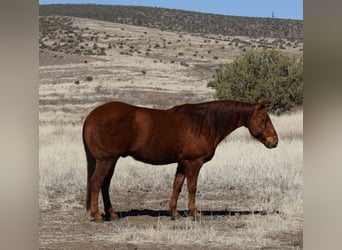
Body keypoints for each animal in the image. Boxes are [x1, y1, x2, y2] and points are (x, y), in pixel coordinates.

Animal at [82, 99, 278, 221]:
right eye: (263, 119)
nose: (274, 142)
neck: (203, 124)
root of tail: (91, 116)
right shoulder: (194, 162)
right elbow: (192, 187)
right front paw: (194, 213)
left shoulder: (182, 163)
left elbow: (177, 185)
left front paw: (174, 212)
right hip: (106, 160)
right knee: (96, 183)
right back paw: (97, 215)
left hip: (111, 160)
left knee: (104, 185)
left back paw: (112, 214)